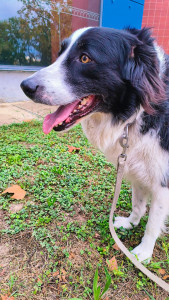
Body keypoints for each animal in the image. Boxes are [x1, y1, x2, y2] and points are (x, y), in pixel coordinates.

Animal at [20, 27, 169, 262]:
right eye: (60, 53)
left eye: (85, 58)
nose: (25, 86)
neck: (137, 111)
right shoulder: (138, 169)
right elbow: (138, 204)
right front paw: (130, 223)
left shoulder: (163, 183)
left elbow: (153, 222)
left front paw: (143, 253)